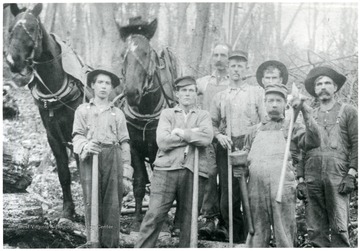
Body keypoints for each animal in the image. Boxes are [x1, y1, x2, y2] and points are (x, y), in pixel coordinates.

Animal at [5, 3, 89, 220]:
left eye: (32, 28)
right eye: (10, 30)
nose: (12, 61)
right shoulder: (53, 136)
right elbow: (63, 174)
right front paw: (67, 211)